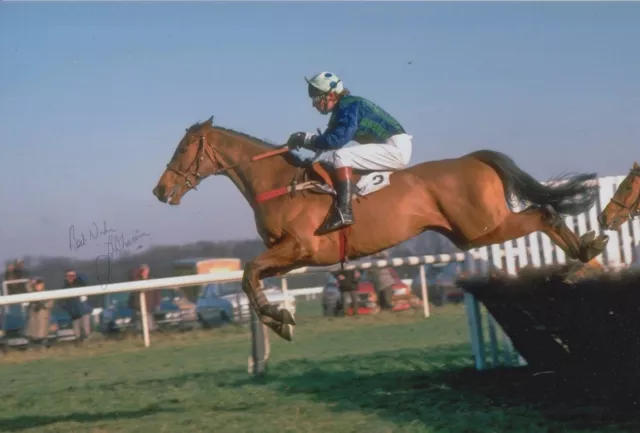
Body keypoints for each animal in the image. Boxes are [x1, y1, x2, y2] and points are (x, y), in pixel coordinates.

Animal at [151, 115, 608, 340]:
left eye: (184, 148)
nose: (160, 190)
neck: (279, 183)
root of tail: (475, 159)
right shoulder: (289, 257)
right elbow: (250, 278)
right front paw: (279, 318)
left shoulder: (298, 248)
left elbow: (247, 273)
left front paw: (279, 318)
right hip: (469, 232)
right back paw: (584, 257)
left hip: (483, 228)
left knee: (545, 214)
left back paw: (584, 253)